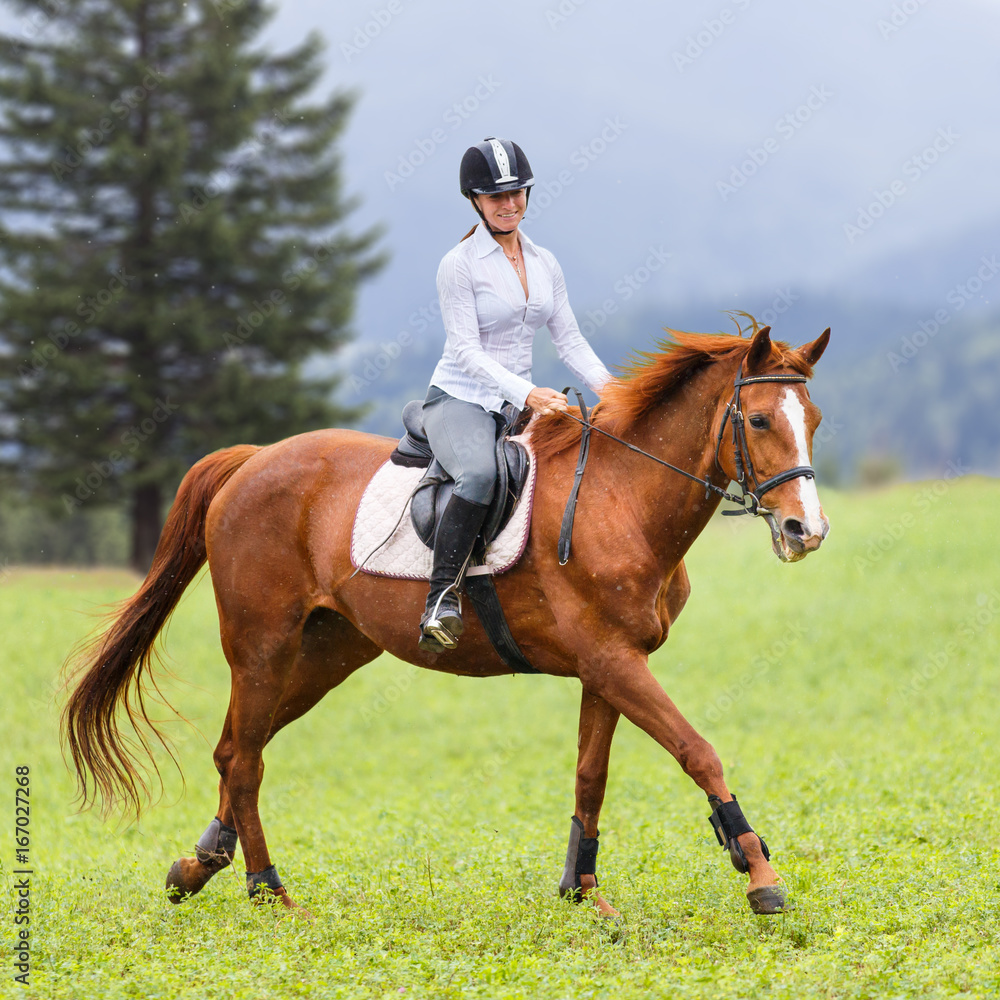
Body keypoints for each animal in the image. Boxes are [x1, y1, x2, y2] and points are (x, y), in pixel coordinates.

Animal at [63, 323, 830, 919]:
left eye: (814, 421)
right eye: (759, 420)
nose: (807, 531)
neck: (621, 496)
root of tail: (253, 462)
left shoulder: (606, 667)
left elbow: (591, 776)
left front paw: (583, 892)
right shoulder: (614, 661)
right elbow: (698, 751)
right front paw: (760, 876)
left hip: (326, 653)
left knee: (235, 750)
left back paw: (199, 867)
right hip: (262, 647)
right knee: (246, 760)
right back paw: (271, 893)